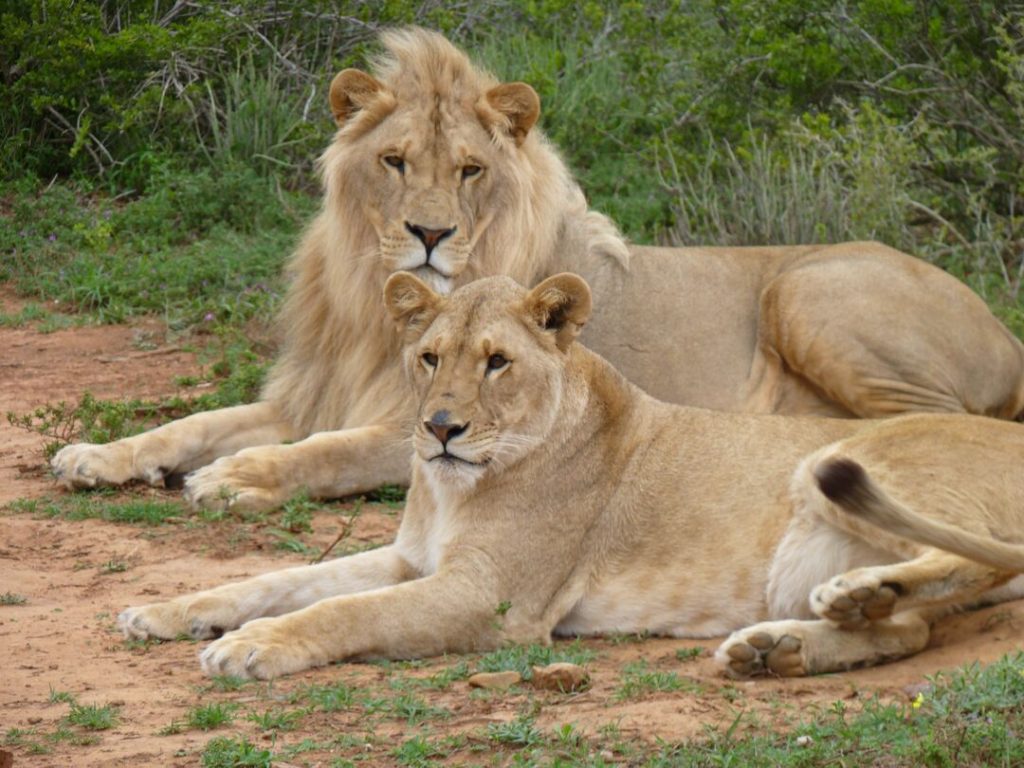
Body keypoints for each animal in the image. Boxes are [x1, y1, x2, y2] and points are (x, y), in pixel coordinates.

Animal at [54, 30, 1024, 514]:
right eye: (396, 162)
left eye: (470, 170)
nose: (430, 233)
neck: (377, 303)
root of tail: (1000, 328)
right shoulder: (312, 394)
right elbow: (194, 422)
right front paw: (98, 455)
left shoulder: (432, 426)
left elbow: (325, 453)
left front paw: (236, 477)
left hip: (806, 288)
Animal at [119, 272, 1024, 679]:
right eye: (429, 358)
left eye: (497, 363)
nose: (439, 428)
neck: (453, 488)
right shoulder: (412, 559)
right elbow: (280, 580)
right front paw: (164, 613)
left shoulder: (492, 597)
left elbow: (346, 612)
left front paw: (254, 646)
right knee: (908, 631)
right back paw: (782, 645)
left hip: (851, 461)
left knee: (964, 561)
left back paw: (845, 601)